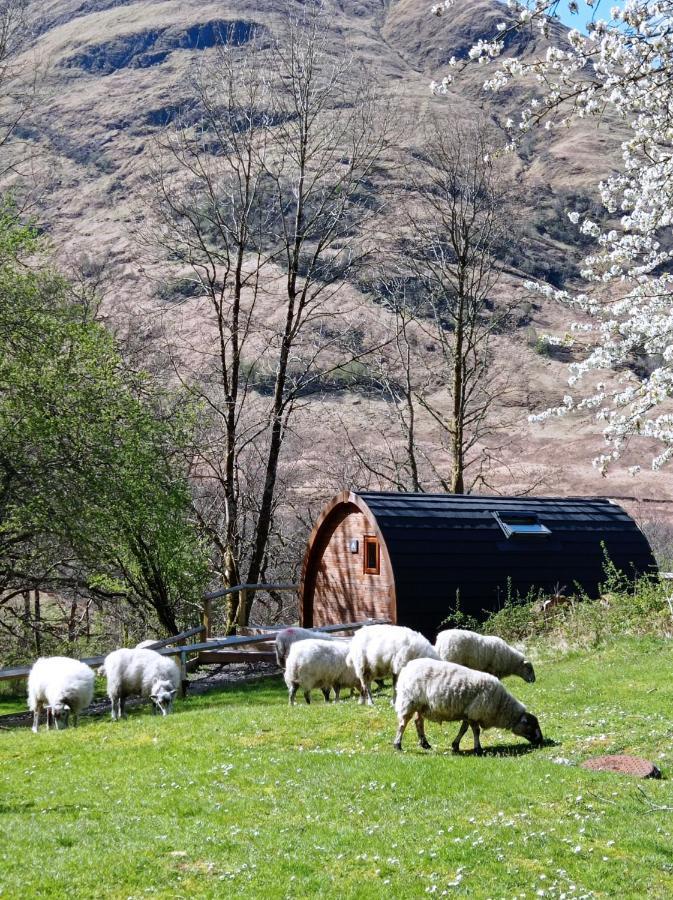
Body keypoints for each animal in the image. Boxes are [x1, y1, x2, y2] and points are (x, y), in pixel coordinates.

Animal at [394, 656, 540, 756]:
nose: (541, 741)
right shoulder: (475, 712)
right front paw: (478, 749)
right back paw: (398, 745)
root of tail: (407, 667)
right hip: (410, 701)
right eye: (531, 726)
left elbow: (463, 730)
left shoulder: (468, 713)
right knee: (403, 723)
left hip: (422, 705)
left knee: (418, 722)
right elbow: (476, 731)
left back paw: (425, 744)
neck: (500, 705)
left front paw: (455, 745)